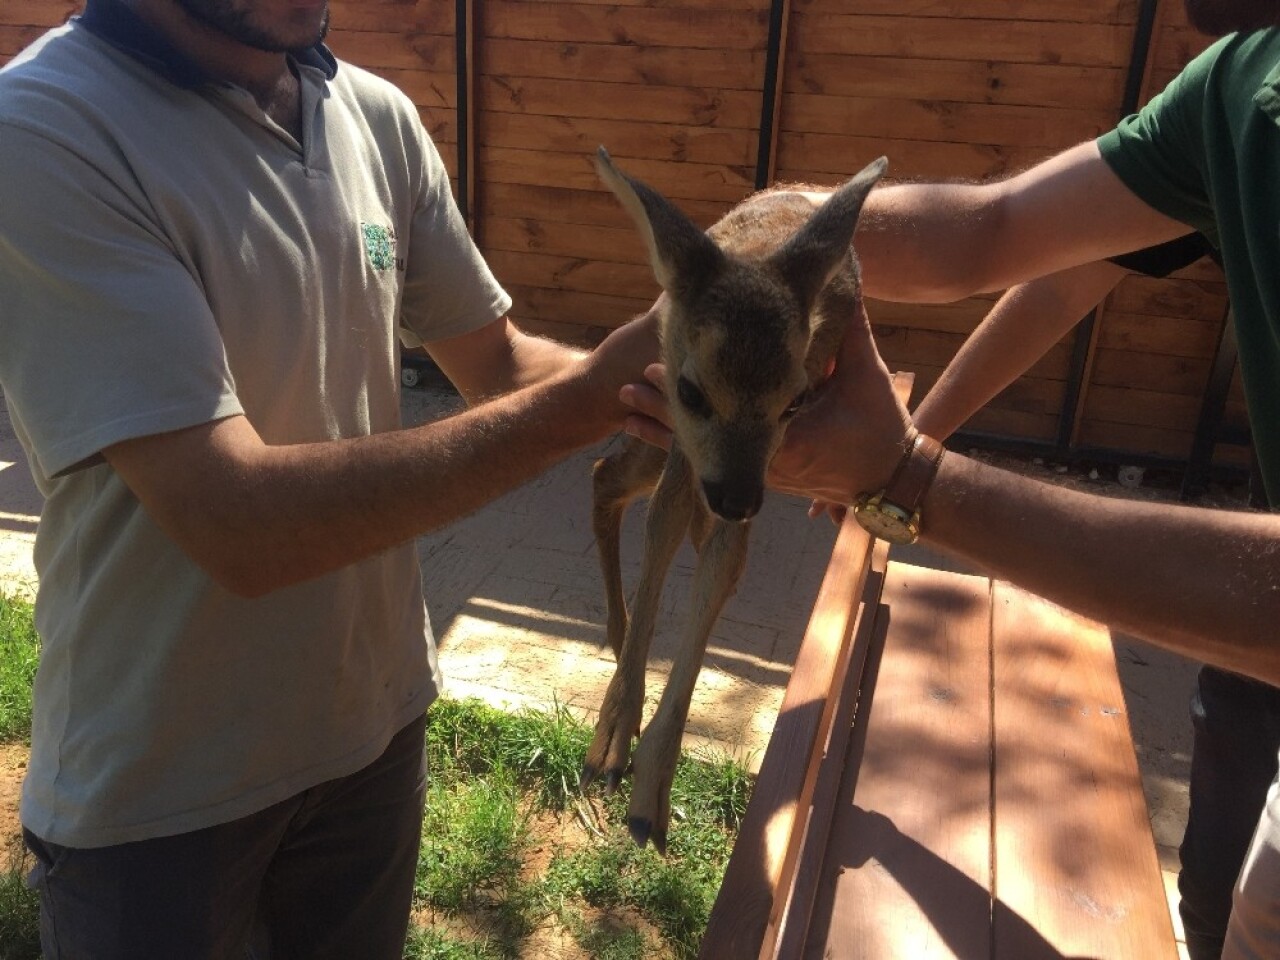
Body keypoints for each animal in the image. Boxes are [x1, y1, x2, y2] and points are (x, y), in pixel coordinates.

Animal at [583, 146, 890, 855]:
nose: (738, 497)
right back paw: (615, 631)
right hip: (653, 433)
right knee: (606, 473)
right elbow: (662, 529)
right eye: (693, 391)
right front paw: (611, 739)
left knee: (614, 479)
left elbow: (721, 567)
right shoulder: (675, 426)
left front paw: (649, 796)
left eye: (795, 401)